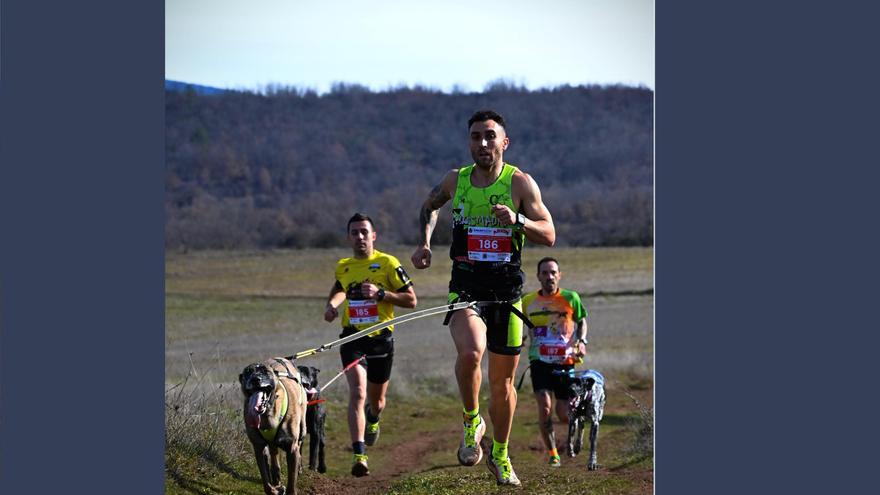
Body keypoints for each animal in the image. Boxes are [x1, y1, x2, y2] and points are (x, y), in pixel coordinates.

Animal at [241, 358, 310, 494]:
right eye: (248, 372)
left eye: (265, 371)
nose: (255, 379)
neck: (267, 415)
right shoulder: (259, 448)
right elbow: (266, 481)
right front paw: (274, 489)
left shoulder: (291, 448)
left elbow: (291, 482)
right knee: (274, 456)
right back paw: (276, 478)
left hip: (302, 429)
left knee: (299, 445)